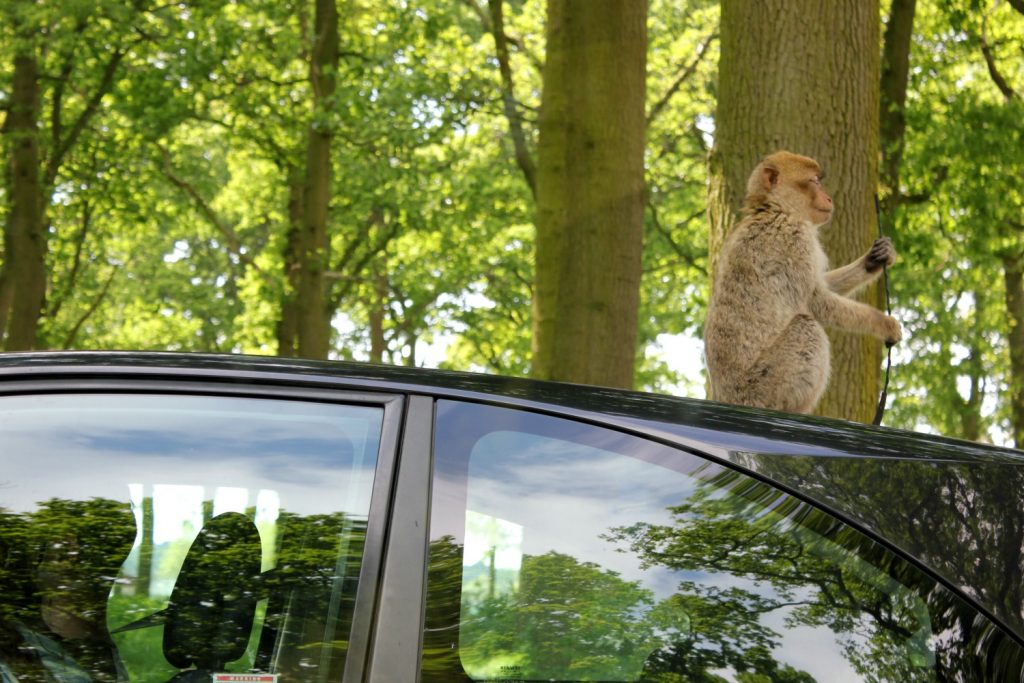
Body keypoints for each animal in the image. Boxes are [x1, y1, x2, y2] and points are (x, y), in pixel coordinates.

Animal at [703, 150, 902, 414]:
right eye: (814, 181)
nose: (828, 197)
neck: (777, 209)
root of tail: (726, 398)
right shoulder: (794, 239)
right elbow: (818, 301)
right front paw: (884, 324)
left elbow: (821, 286)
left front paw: (874, 260)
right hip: (762, 388)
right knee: (807, 327)